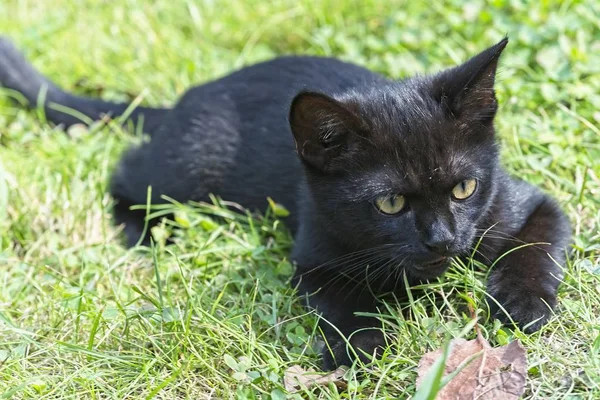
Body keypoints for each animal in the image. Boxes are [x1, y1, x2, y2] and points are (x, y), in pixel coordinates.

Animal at [1, 36, 572, 368]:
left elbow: (535, 245)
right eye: (390, 204)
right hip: (191, 168)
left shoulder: (528, 201)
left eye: (464, 189)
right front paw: (362, 351)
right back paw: (141, 234)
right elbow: (345, 306)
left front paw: (523, 304)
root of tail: (193, 95)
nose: (443, 240)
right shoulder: (314, 258)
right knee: (125, 170)